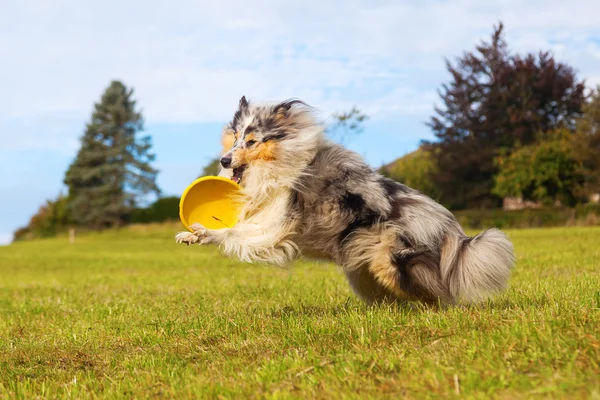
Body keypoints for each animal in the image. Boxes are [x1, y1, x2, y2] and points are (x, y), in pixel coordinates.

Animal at [175, 96, 516, 304]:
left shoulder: (274, 226)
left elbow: (234, 232)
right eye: (234, 138)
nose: (224, 160)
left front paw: (204, 232)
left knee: (436, 291)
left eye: (252, 141)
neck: (280, 162)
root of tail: (452, 228)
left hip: (391, 262)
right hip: (362, 266)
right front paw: (191, 235)